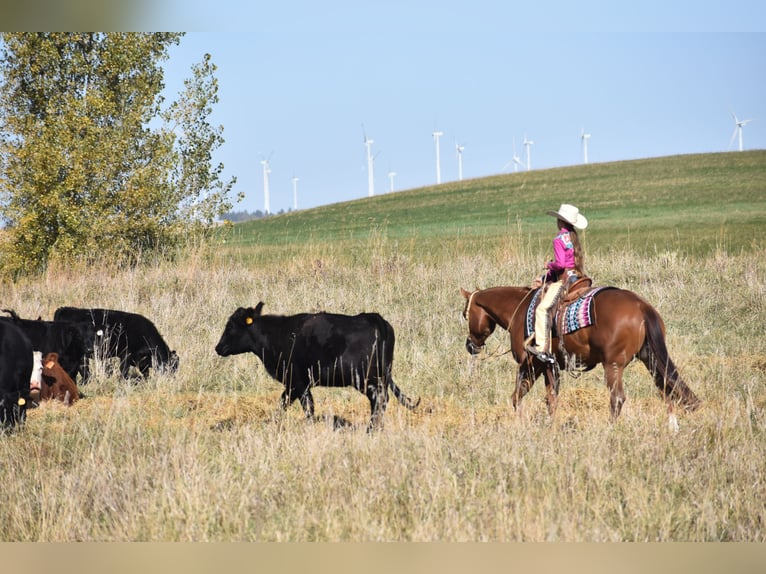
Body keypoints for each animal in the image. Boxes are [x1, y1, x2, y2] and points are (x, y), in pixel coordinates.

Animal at [214, 306, 420, 432]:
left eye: (230, 327)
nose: (218, 347)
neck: (277, 335)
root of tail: (372, 317)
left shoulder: (295, 382)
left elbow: (298, 406)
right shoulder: (300, 384)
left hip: (365, 378)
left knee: (379, 399)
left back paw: (370, 429)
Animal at [462, 286, 704, 420]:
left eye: (465, 314)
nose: (469, 345)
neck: (518, 310)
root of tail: (640, 306)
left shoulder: (532, 364)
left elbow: (520, 396)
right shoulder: (550, 365)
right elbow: (549, 399)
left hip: (613, 365)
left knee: (617, 398)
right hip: (650, 359)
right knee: (668, 388)